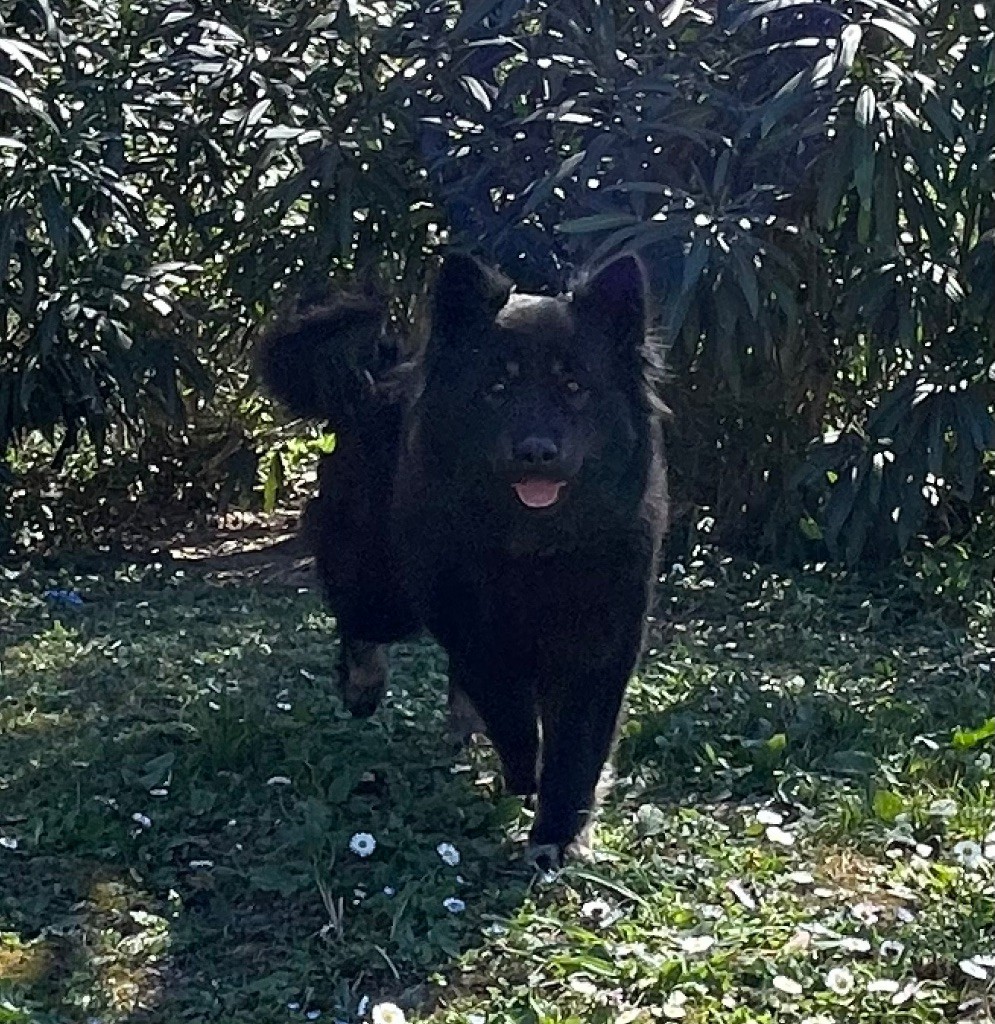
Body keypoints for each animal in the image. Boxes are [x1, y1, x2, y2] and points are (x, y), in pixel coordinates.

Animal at [260, 253, 671, 864]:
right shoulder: (477, 630)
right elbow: (514, 718)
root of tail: (376, 384)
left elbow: (575, 750)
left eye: (574, 386)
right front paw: (527, 779)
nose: (536, 452)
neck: (534, 548)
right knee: (360, 624)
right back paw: (364, 687)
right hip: (385, 587)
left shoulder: (598, 648)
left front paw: (560, 833)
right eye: (497, 387)